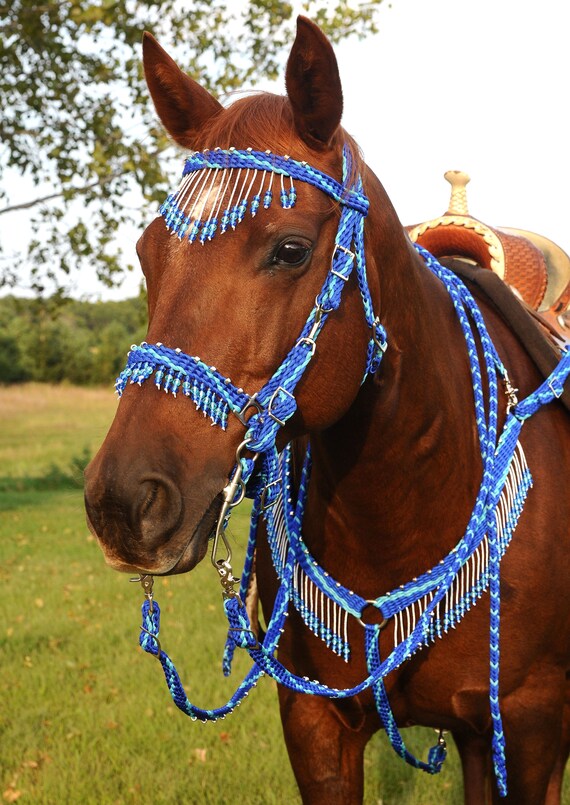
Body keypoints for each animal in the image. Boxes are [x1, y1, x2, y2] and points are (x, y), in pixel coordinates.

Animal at [84, 17, 570, 804]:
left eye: (289, 249)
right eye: (147, 250)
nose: (124, 501)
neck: (408, 500)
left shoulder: (527, 732)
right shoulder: (317, 728)